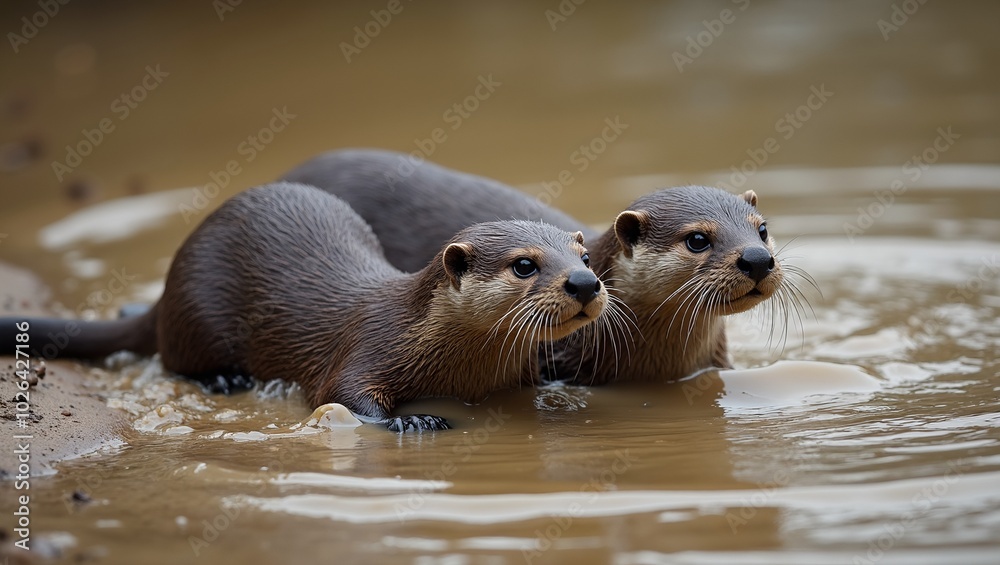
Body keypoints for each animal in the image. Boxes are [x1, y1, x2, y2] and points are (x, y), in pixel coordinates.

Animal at [1, 183, 609, 430]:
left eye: (584, 255)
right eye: (525, 265)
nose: (584, 283)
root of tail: (168, 282)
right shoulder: (368, 347)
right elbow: (341, 395)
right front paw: (415, 419)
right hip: (197, 311)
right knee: (176, 358)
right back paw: (222, 379)